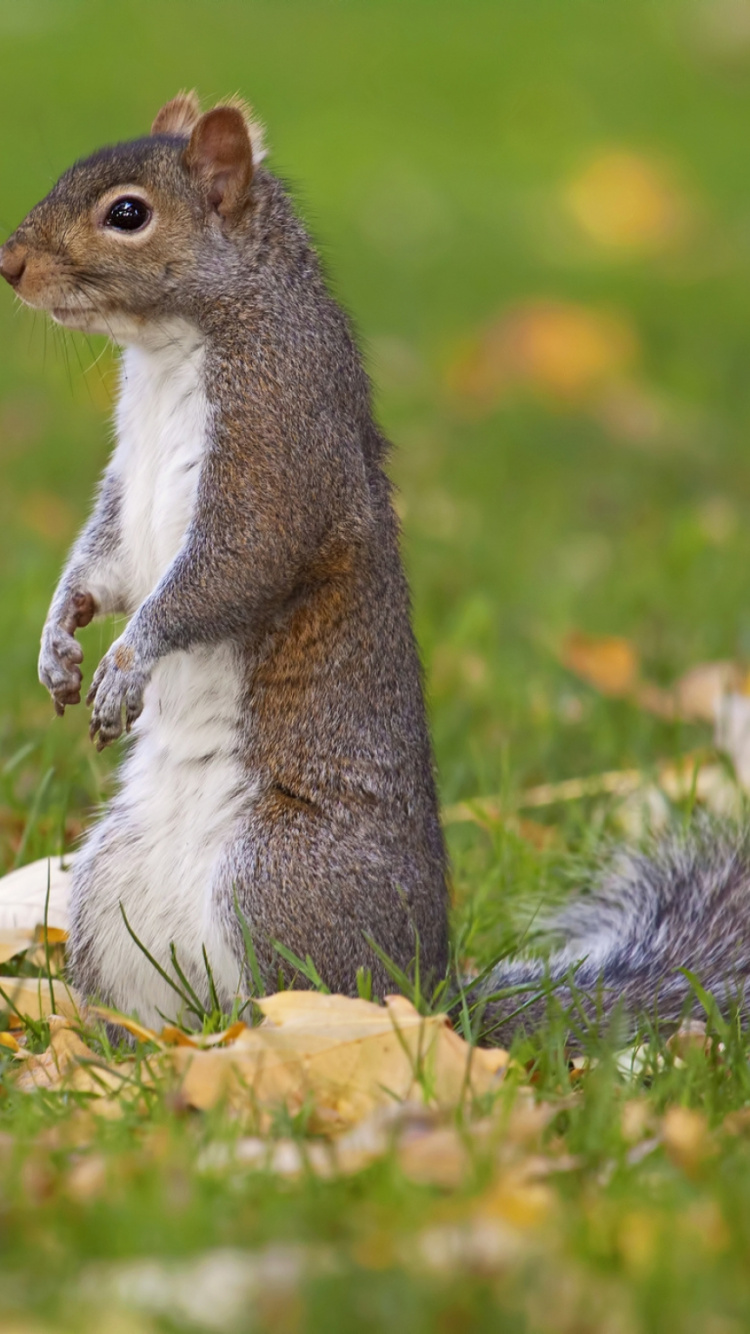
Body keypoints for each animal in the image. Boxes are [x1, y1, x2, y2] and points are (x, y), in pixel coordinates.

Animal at [2, 94, 741, 1040]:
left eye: (126, 214)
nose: (9, 263)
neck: (171, 349)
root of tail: (434, 993)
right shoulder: (129, 486)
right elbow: (106, 564)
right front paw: (57, 641)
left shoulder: (278, 447)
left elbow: (225, 572)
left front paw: (128, 664)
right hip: (105, 889)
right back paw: (126, 1042)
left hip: (277, 877)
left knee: (302, 991)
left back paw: (279, 1037)